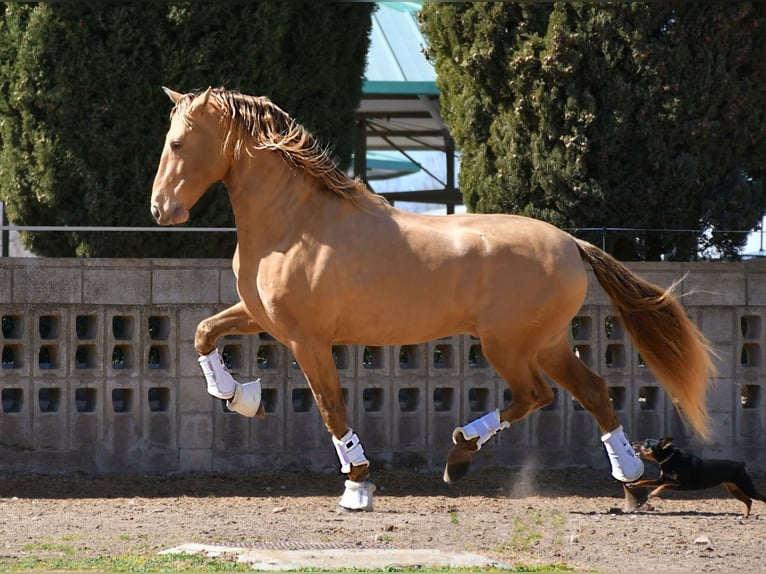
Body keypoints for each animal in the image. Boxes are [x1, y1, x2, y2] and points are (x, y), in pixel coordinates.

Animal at [152, 86, 720, 512]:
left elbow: (332, 408)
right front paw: (237, 397)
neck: (296, 226)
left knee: (538, 395)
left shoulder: (306, 339)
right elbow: (203, 333)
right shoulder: (264, 318)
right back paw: (629, 480)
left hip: (508, 345)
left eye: (178, 143)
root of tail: (572, 244)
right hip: (549, 342)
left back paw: (462, 451)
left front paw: (357, 484)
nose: (161, 210)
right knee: (594, 392)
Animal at [632, 438, 766, 520]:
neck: (669, 459)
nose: (633, 442)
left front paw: (654, 493)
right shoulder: (661, 480)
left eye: (646, 443)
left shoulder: (682, 485)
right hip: (734, 490)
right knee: (749, 501)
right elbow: (645, 482)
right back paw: (745, 516)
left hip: (746, 487)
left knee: (759, 498)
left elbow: (663, 486)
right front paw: (634, 484)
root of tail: (741, 464)